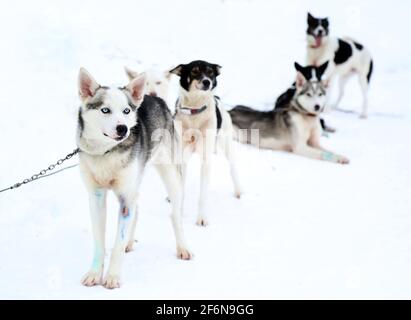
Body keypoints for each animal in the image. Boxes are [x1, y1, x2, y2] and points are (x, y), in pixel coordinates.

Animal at [77, 68, 193, 290]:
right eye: (105, 110)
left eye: (126, 111)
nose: (123, 128)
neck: (107, 152)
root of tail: (154, 98)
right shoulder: (96, 196)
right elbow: (99, 241)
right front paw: (95, 274)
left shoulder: (124, 197)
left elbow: (117, 244)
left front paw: (113, 277)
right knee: (136, 207)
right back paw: (129, 242)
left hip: (171, 176)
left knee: (175, 214)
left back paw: (183, 247)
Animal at [170, 60, 243, 228]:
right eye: (195, 71)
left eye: (210, 72)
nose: (207, 82)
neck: (194, 112)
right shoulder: (181, 158)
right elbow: (180, 188)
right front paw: (179, 213)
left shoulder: (206, 160)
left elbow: (202, 195)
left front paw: (201, 218)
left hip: (226, 144)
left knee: (233, 167)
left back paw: (238, 191)